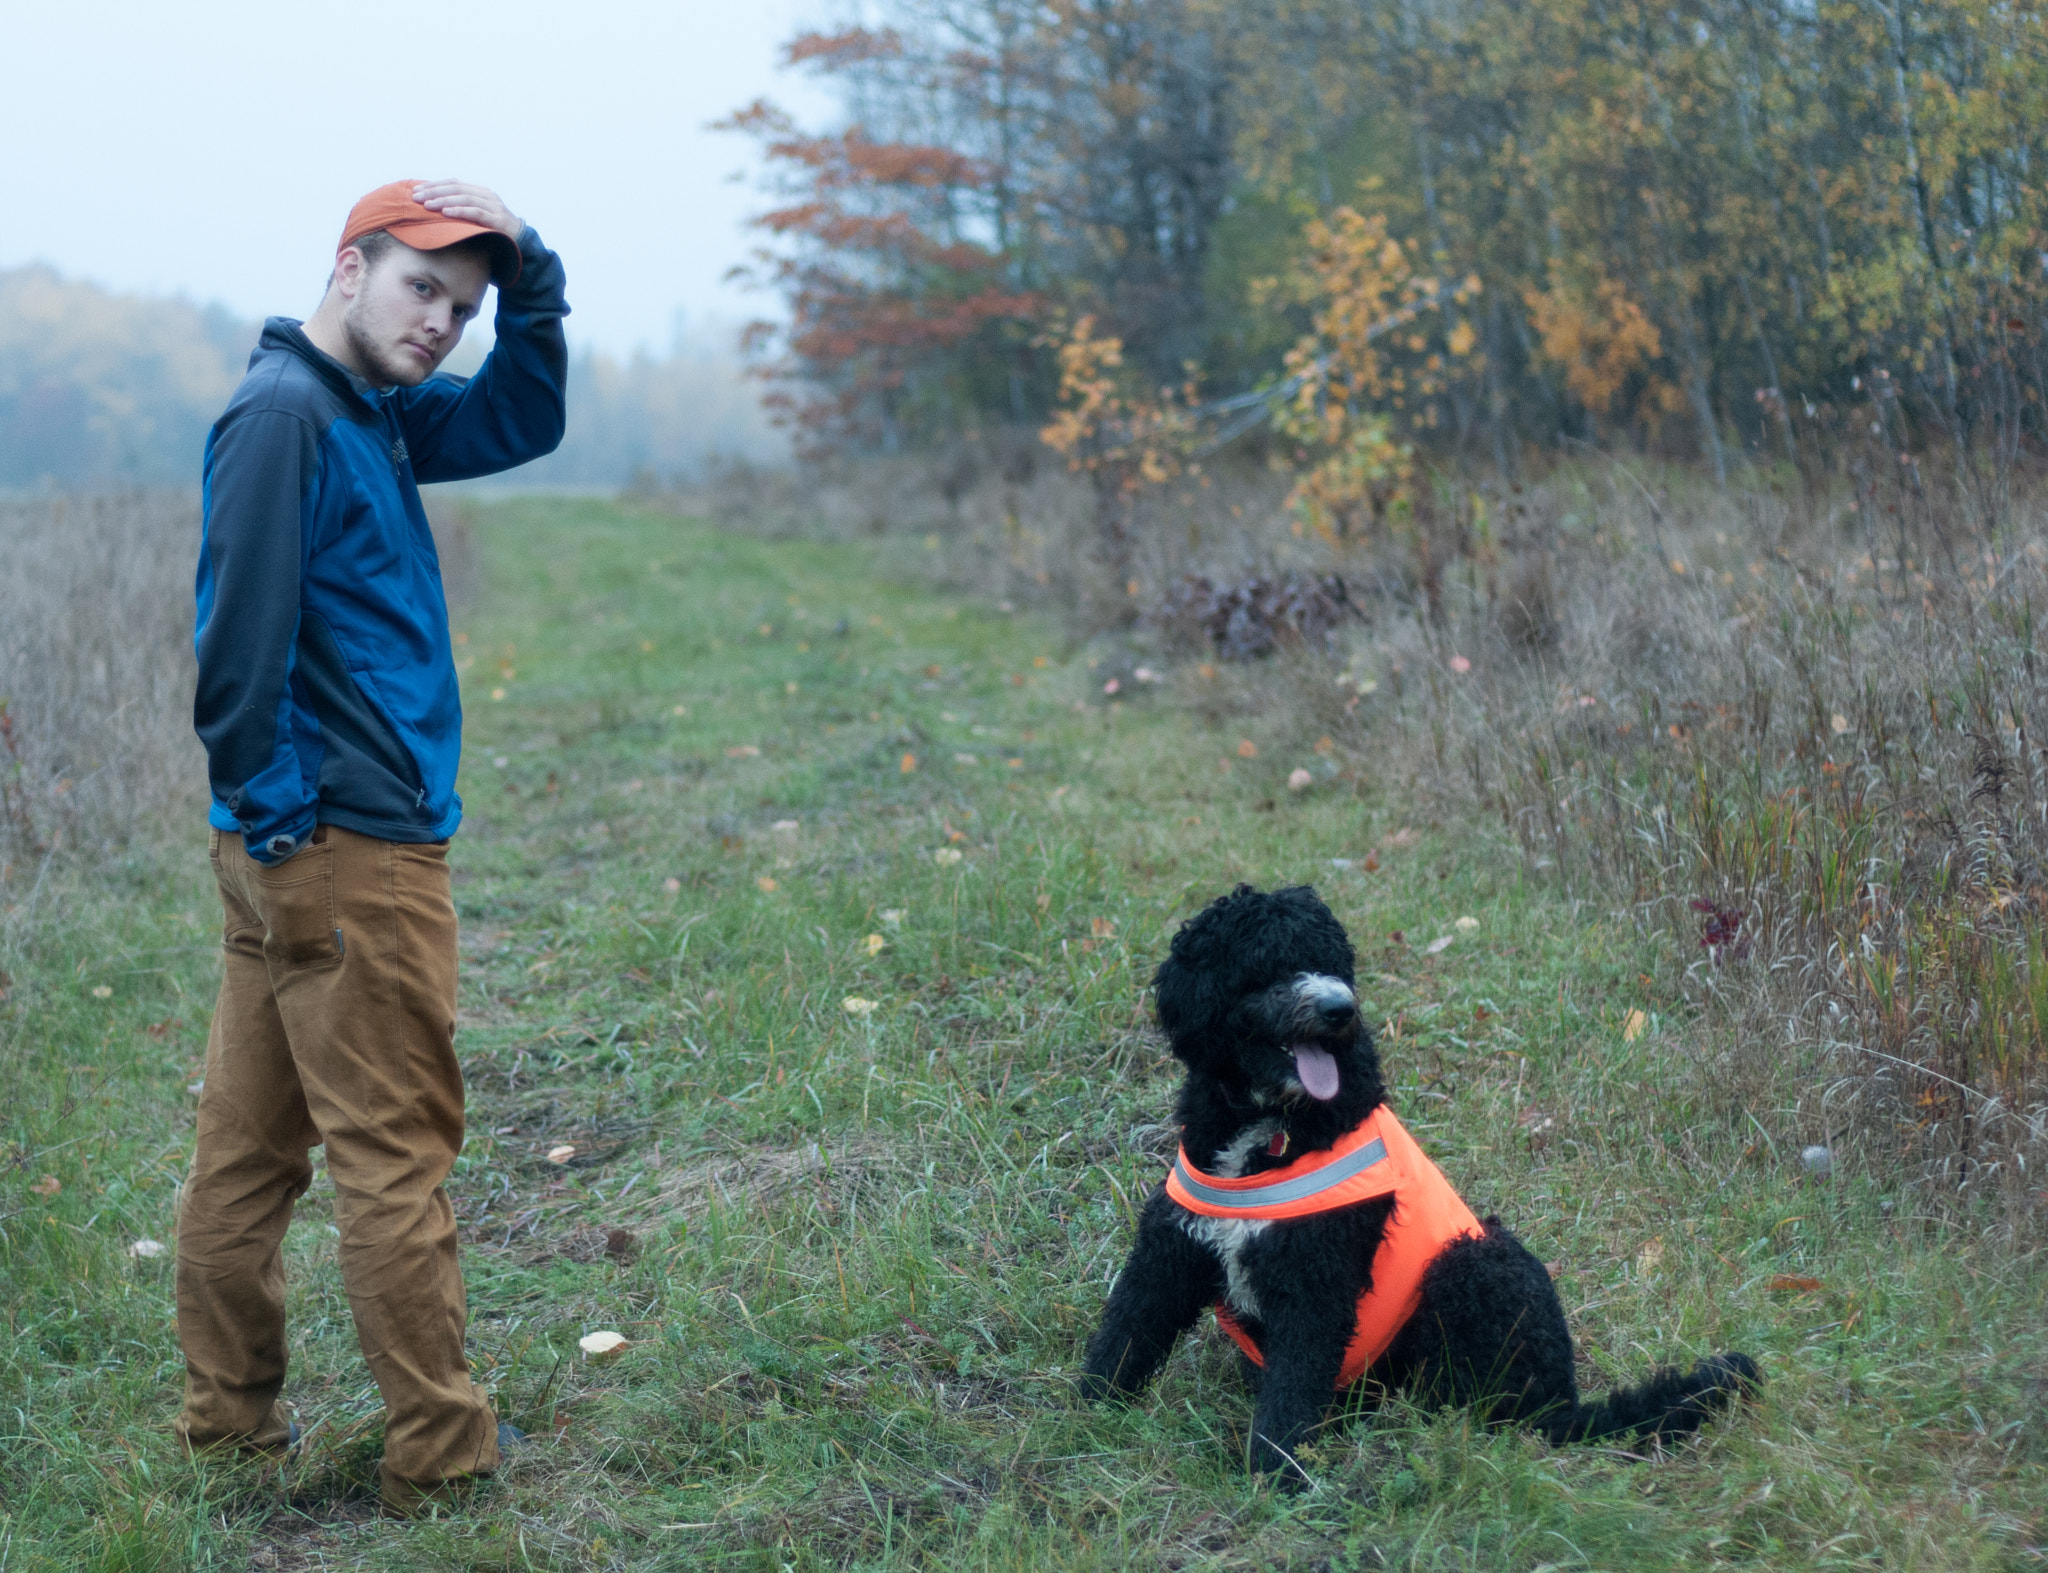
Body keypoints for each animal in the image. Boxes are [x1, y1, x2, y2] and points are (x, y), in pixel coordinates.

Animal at [1073, 893, 1761, 1482]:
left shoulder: (1315, 1283)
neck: (1271, 1128)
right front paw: (1084, 1417)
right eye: (1271, 963)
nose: (1340, 1011)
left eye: (1335, 963)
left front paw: (1277, 1469)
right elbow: (1125, 1335)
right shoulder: (1170, 1253)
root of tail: (1563, 1407)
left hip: (1476, 1261)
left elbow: (1293, 1386)